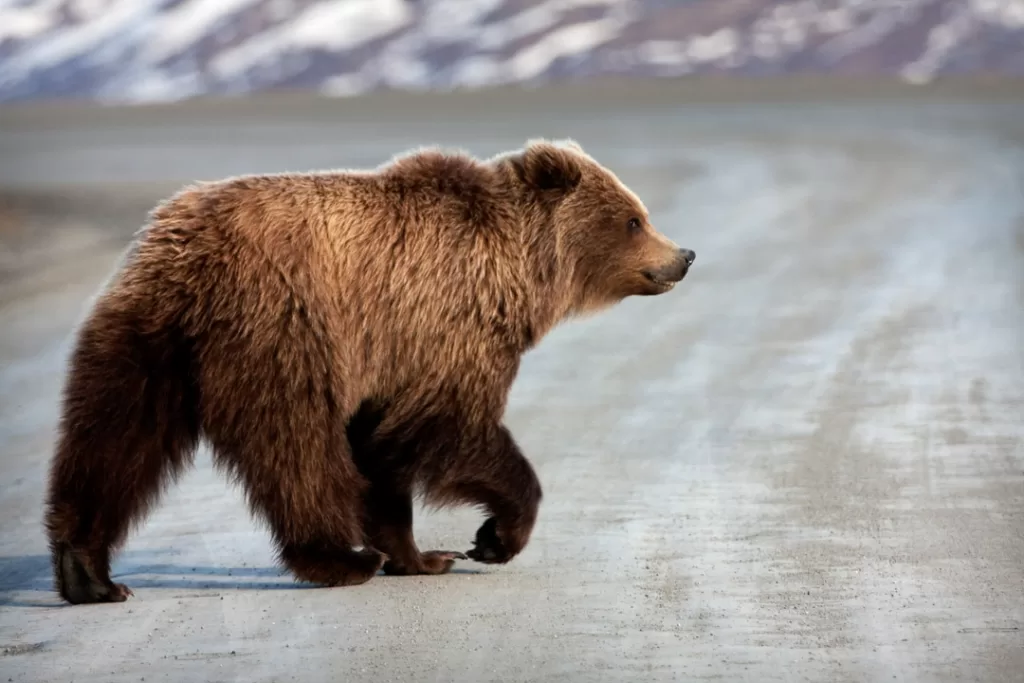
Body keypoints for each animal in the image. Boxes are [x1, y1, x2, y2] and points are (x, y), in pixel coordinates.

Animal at [41, 137, 696, 602]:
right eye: (633, 219)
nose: (684, 255)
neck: (517, 271)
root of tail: (186, 252)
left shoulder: (393, 357)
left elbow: (386, 451)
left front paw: (424, 556)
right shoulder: (443, 326)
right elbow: (445, 430)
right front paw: (492, 537)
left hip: (145, 336)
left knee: (115, 436)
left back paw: (88, 572)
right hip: (281, 328)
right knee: (297, 445)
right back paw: (337, 558)